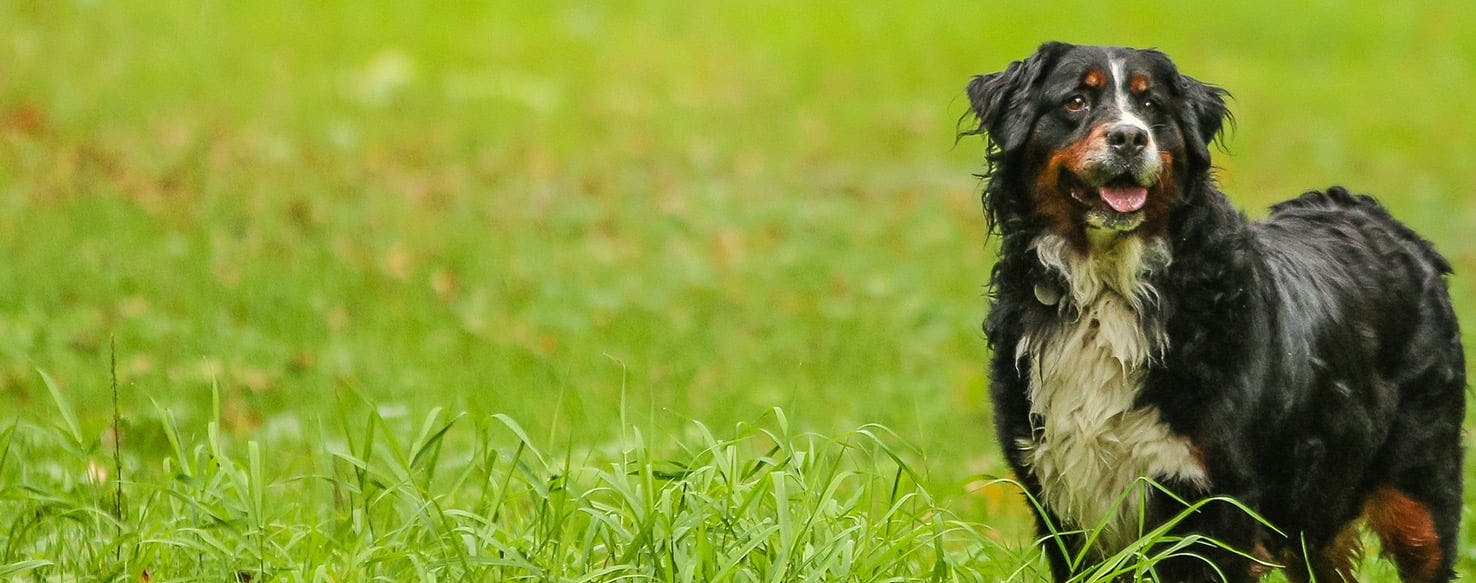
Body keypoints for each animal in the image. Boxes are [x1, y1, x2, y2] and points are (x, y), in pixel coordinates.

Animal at [968, 43, 1464, 581]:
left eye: (1152, 106)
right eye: (1076, 100)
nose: (1129, 137)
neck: (1109, 290)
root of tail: (1370, 213)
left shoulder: (1214, 505)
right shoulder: (1059, 498)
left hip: (1419, 495)